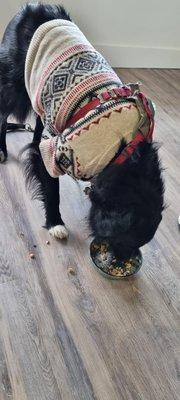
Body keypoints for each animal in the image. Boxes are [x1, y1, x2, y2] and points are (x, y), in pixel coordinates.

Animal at [0, 3, 163, 260]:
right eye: (122, 241)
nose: (121, 261)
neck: (125, 150)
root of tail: (35, 6)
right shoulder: (54, 150)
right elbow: (51, 187)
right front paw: (55, 223)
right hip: (13, 85)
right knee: (3, 114)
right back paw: (2, 150)